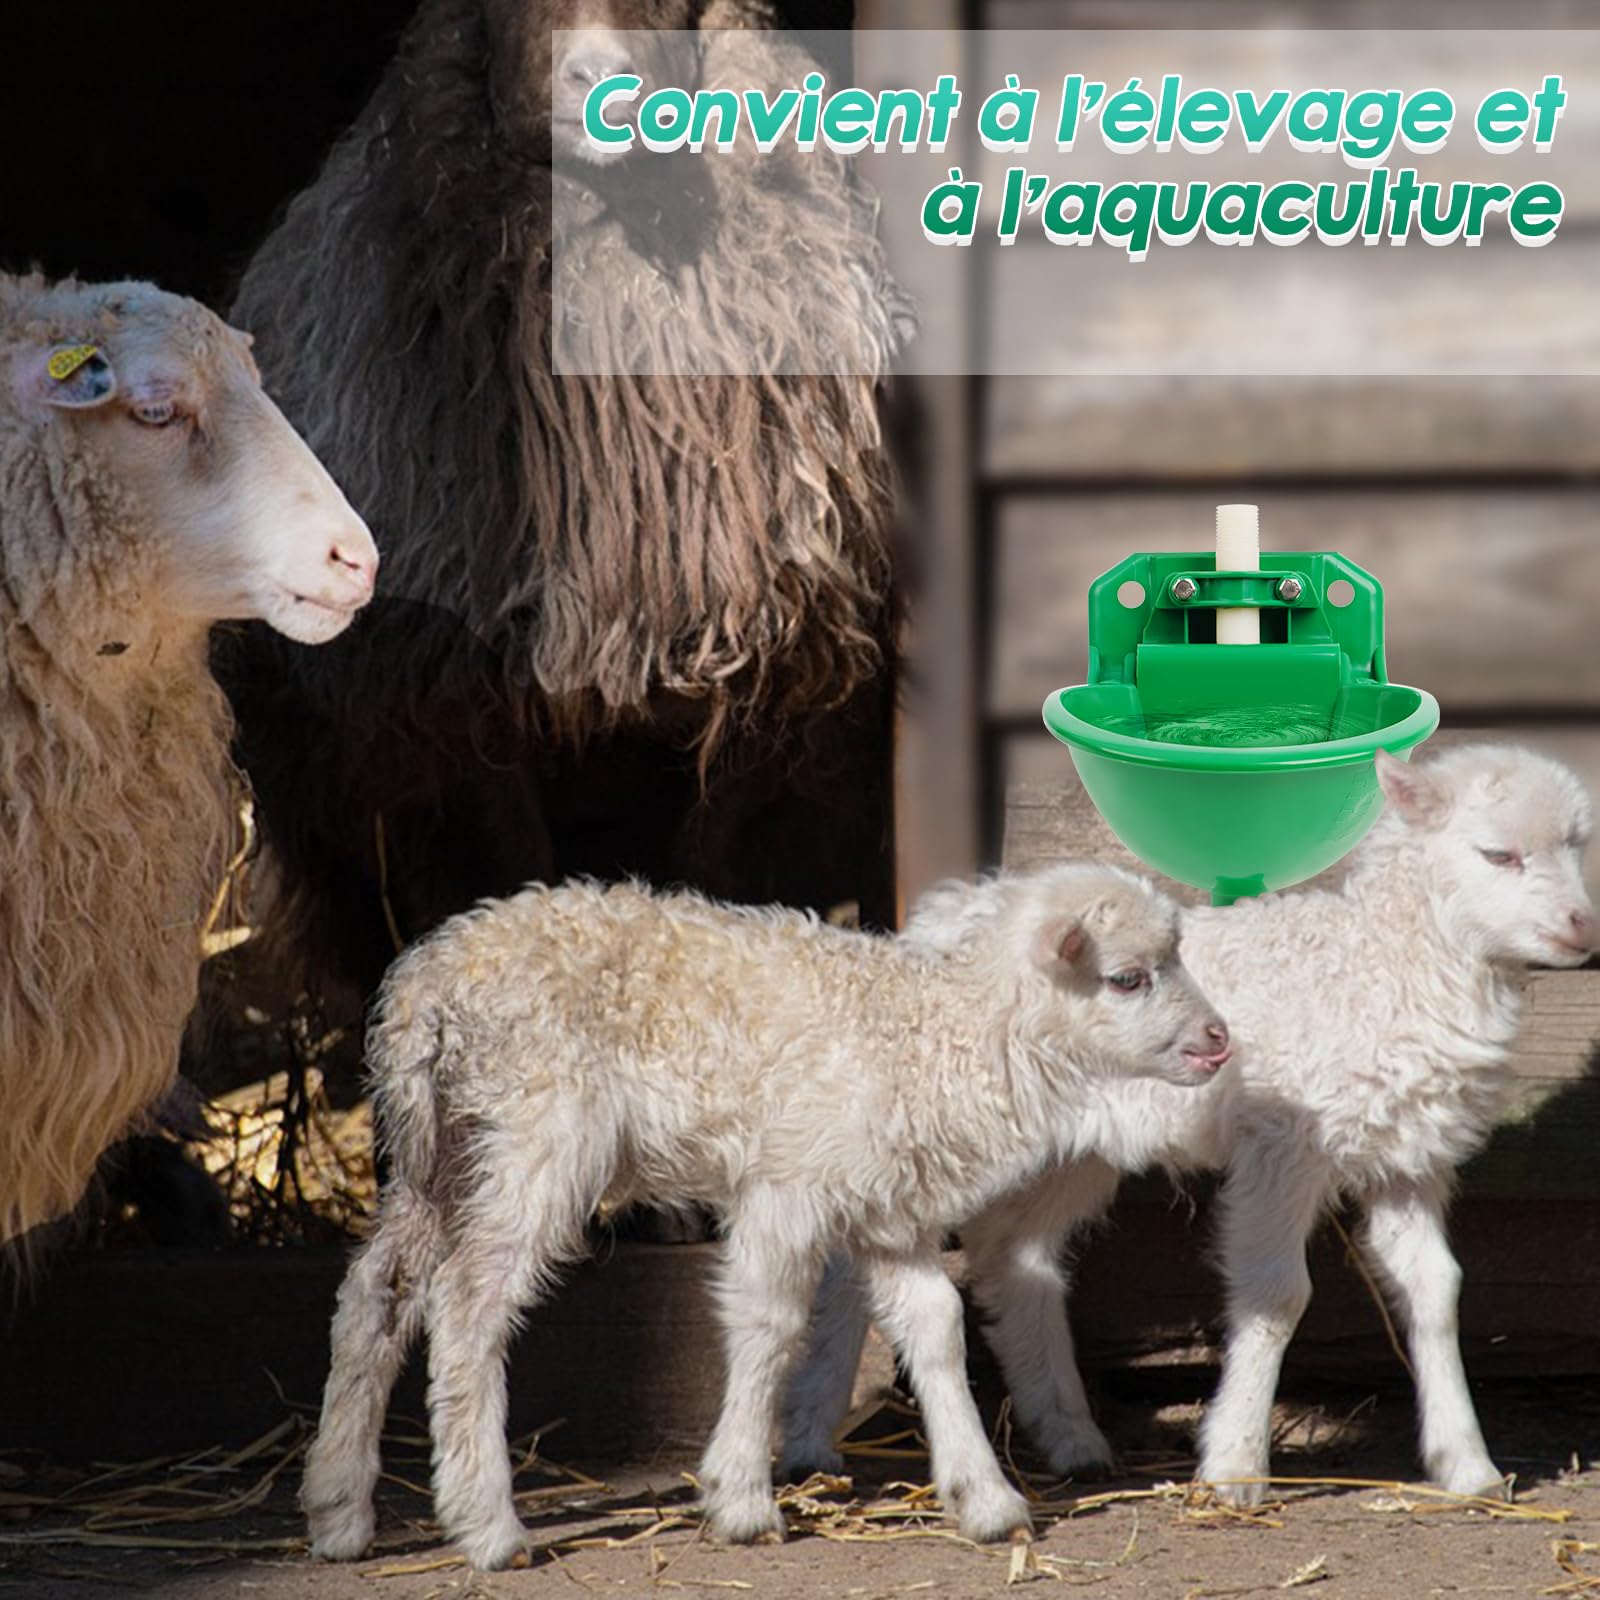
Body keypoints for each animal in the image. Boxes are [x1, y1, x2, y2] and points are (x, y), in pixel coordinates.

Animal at [300, 865, 1233, 1569]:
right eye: (1128, 978)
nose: (1220, 1041)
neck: (931, 1034)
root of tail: (427, 983)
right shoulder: (789, 1187)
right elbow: (771, 1326)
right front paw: (742, 1497)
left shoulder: (885, 1208)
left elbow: (937, 1327)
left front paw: (986, 1497)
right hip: (537, 1131)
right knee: (468, 1306)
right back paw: (490, 1527)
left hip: (443, 1149)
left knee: (376, 1293)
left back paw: (340, 1511)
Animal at [781, 745, 1597, 1504]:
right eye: (1498, 854)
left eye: (1576, 844)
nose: (1582, 927)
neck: (1384, 963)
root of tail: (939, 915)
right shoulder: (1283, 1143)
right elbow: (1278, 1294)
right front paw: (1235, 1465)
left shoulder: (1408, 1153)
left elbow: (1436, 1288)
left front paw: (1468, 1464)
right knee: (861, 1264)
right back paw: (812, 1439)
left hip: (1070, 1151)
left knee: (1011, 1255)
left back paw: (1071, 1438)